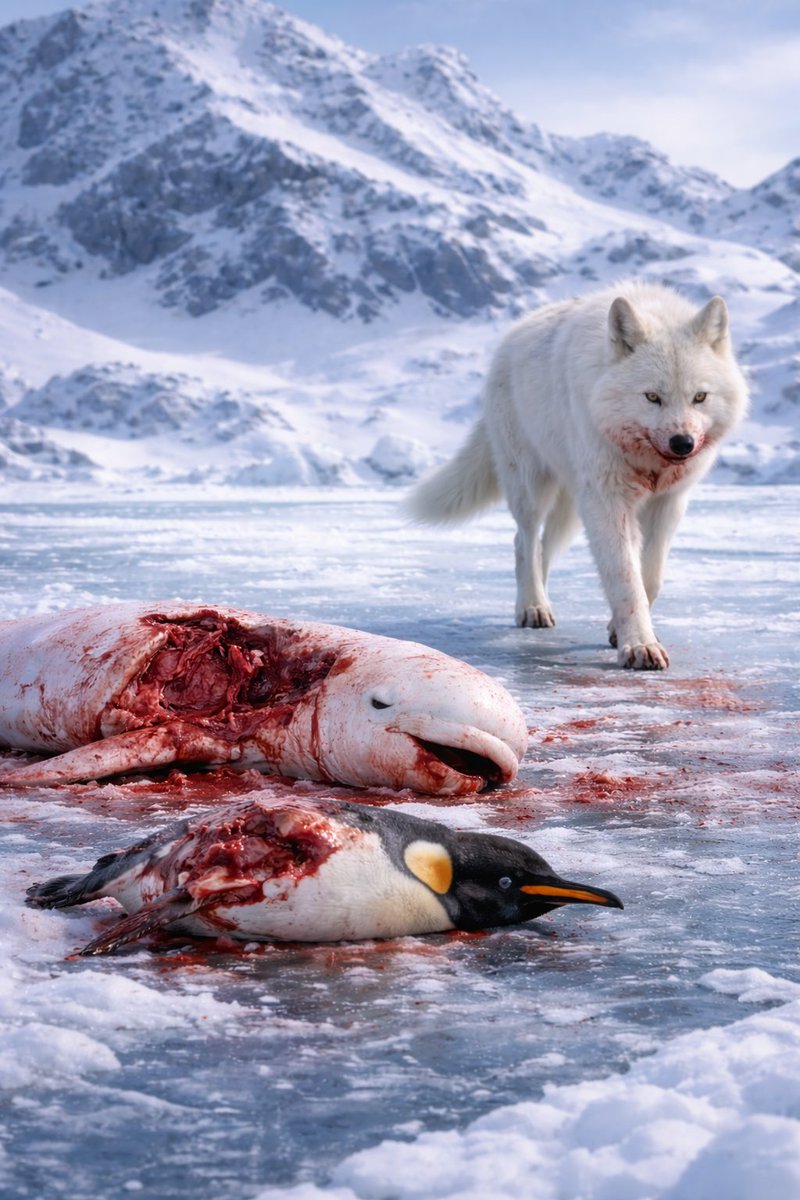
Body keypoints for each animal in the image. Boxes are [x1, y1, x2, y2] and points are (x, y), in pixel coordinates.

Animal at [407, 281, 748, 670]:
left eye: (700, 397)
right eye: (652, 397)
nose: (683, 443)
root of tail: (508, 340)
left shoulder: (669, 503)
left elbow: (650, 577)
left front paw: (619, 631)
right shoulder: (608, 503)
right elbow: (625, 577)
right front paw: (639, 645)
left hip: (571, 510)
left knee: (543, 548)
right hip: (533, 490)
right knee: (524, 541)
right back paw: (532, 607)